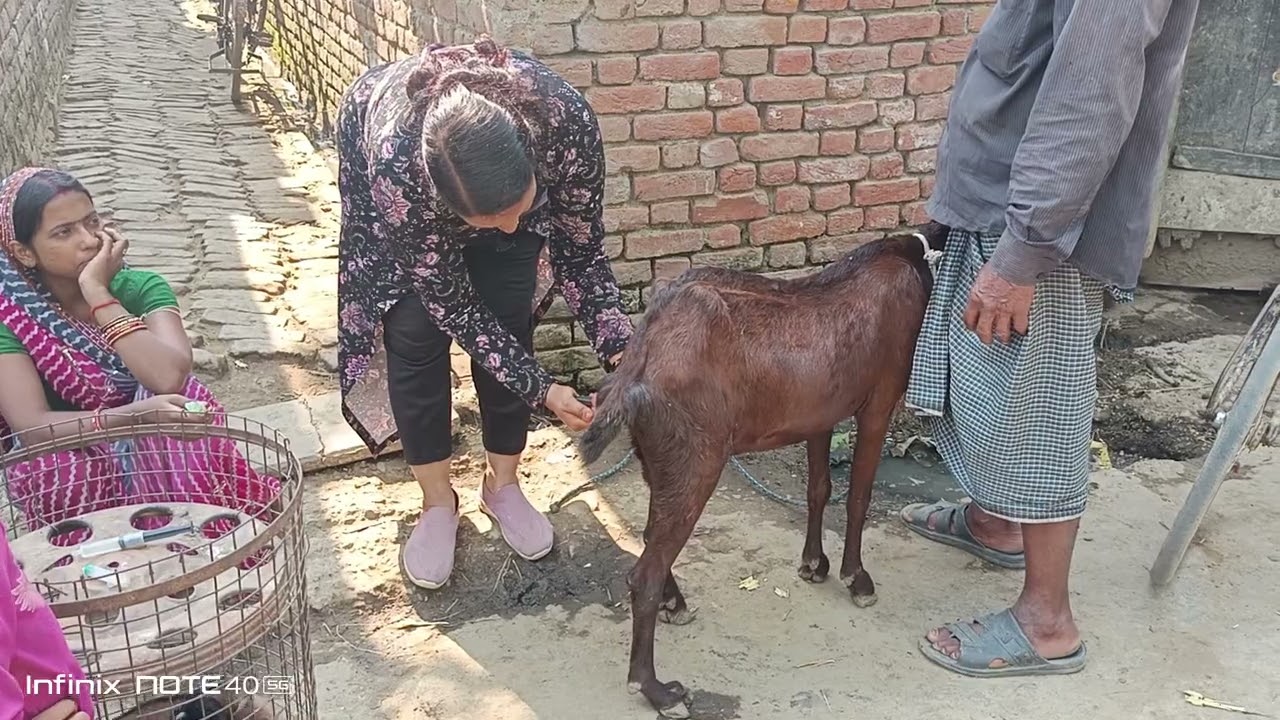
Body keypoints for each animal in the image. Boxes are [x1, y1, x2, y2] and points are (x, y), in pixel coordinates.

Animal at [578, 223, 950, 718]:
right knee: (643, 575)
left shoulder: (820, 415)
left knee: (652, 537)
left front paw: (814, 565)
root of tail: (638, 361)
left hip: (656, 455)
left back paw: (676, 604)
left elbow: (819, 488)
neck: (919, 259)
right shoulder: (878, 401)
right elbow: (858, 497)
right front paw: (856, 578)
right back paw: (658, 689)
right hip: (698, 458)